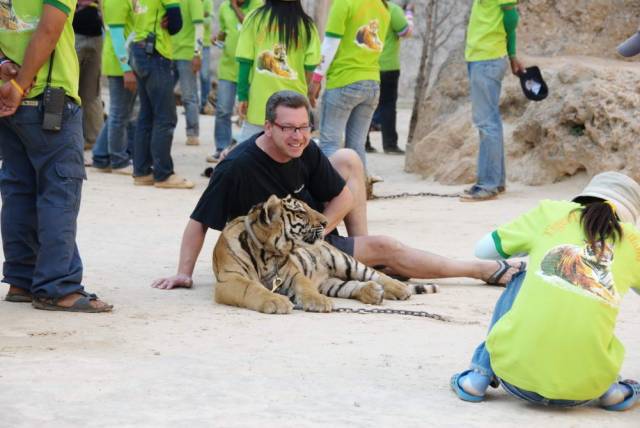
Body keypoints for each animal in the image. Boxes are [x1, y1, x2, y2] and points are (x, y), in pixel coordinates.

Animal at [212, 195, 438, 314]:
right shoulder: (231, 279)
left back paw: (398, 289)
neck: (268, 253)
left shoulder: (293, 274)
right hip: (333, 284)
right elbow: (253, 288)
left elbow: (305, 287)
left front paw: (319, 302)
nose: (325, 221)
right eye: (301, 213)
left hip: (344, 261)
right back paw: (373, 293)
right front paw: (276, 301)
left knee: (377, 274)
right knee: (352, 286)